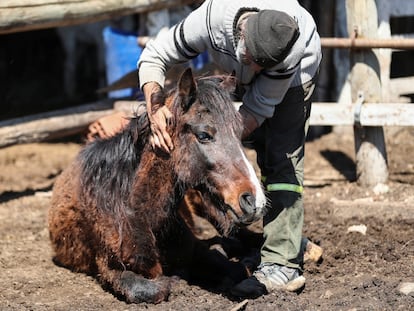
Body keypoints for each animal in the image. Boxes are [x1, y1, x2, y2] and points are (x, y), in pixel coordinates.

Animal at [47, 68, 266, 304]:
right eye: (203, 135)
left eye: (240, 133)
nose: (254, 200)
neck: (139, 215)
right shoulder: (111, 268)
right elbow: (155, 289)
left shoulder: (195, 249)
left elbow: (237, 269)